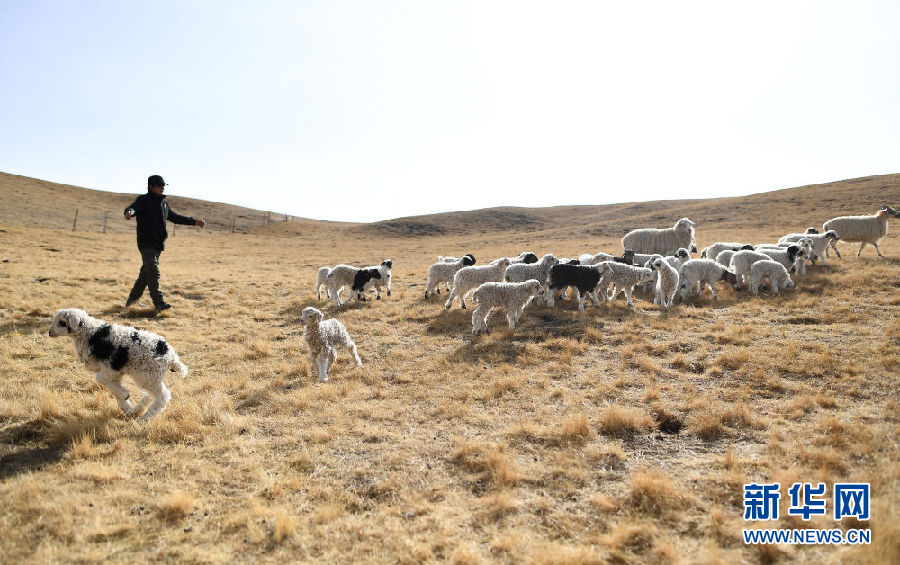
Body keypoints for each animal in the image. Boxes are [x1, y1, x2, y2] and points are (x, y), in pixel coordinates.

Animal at [48, 308, 188, 422]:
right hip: (145, 375)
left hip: (148, 375)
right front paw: (126, 404)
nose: (49, 332)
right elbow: (112, 387)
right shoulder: (114, 372)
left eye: (62, 323)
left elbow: (100, 379)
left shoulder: (110, 368)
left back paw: (144, 419)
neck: (90, 333)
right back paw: (137, 409)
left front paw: (125, 395)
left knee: (163, 395)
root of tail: (171, 356)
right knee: (150, 395)